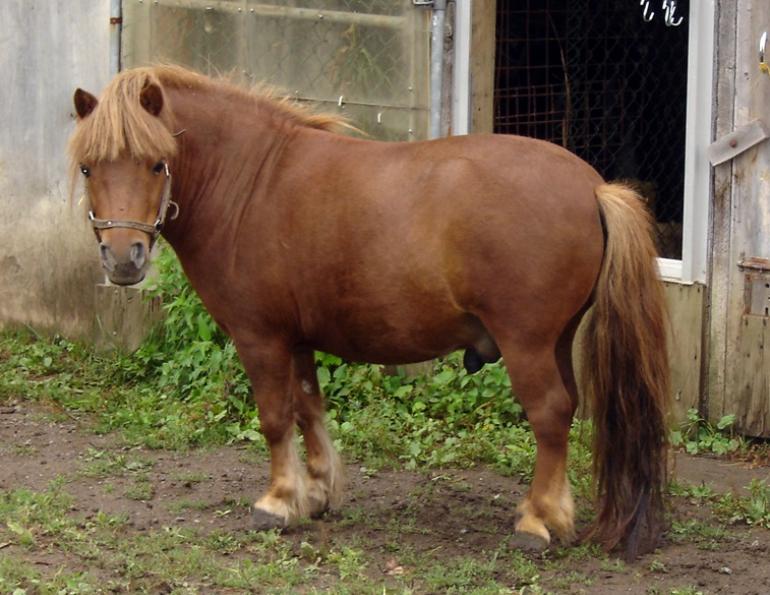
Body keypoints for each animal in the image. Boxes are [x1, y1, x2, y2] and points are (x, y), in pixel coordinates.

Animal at [69, 65, 670, 559]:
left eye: (157, 163)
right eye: (89, 168)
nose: (123, 258)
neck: (251, 182)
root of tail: (593, 186)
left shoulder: (259, 336)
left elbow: (274, 417)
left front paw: (278, 501)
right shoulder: (297, 337)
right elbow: (307, 408)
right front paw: (316, 493)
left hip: (526, 343)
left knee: (548, 414)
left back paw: (536, 523)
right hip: (557, 340)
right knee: (567, 412)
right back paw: (557, 515)